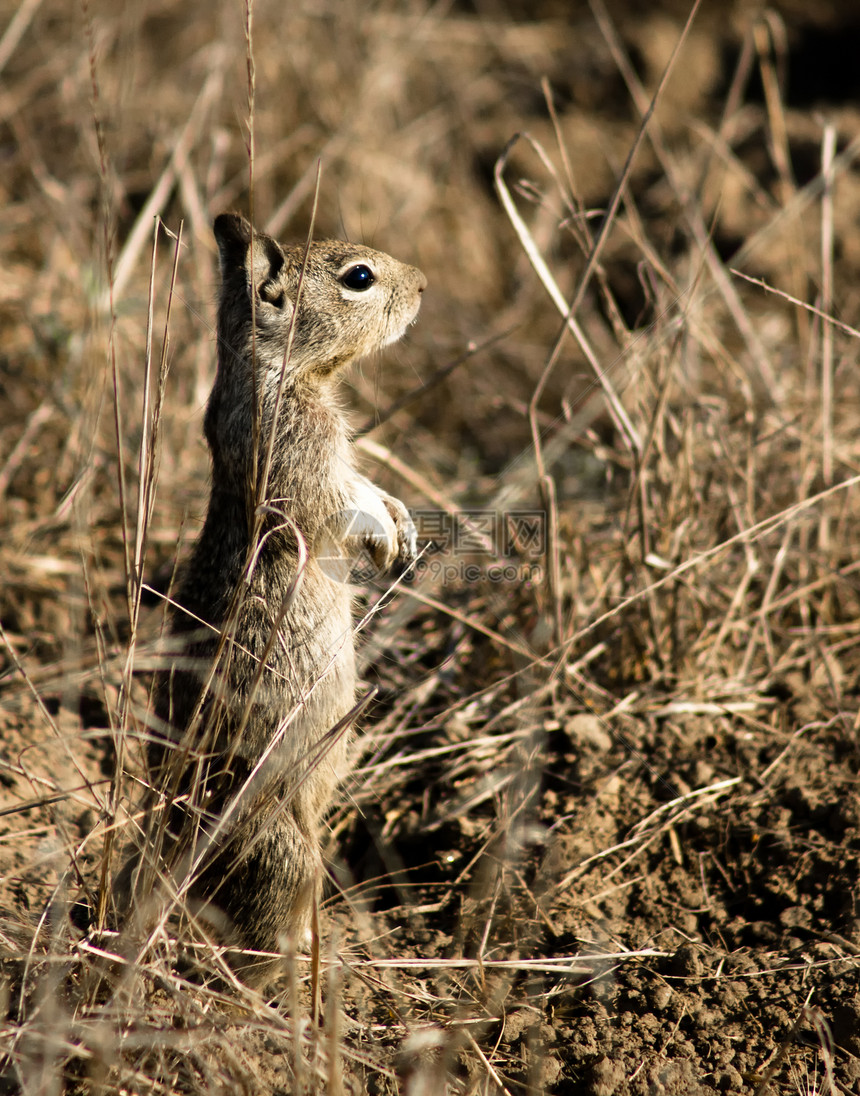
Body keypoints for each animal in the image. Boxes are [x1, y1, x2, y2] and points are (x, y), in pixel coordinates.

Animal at [121, 213, 425, 986]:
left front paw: (404, 526)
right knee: (255, 935)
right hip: (282, 850)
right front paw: (387, 542)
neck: (275, 369)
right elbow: (342, 505)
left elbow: (371, 487)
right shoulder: (303, 460)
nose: (423, 286)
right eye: (358, 278)